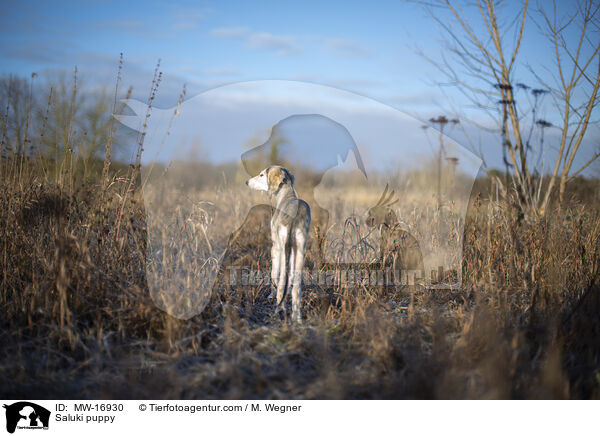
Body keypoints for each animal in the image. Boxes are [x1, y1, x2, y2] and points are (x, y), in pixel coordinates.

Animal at [246, 165, 312, 322]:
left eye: (261, 175)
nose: (247, 182)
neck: (287, 197)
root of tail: (294, 216)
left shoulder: (275, 246)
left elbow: (273, 273)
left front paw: (271, 294)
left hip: (282, 249)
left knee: (282, 282)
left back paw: (279, 308)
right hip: (300, 251)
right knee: (296, 288)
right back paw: (296, 318)